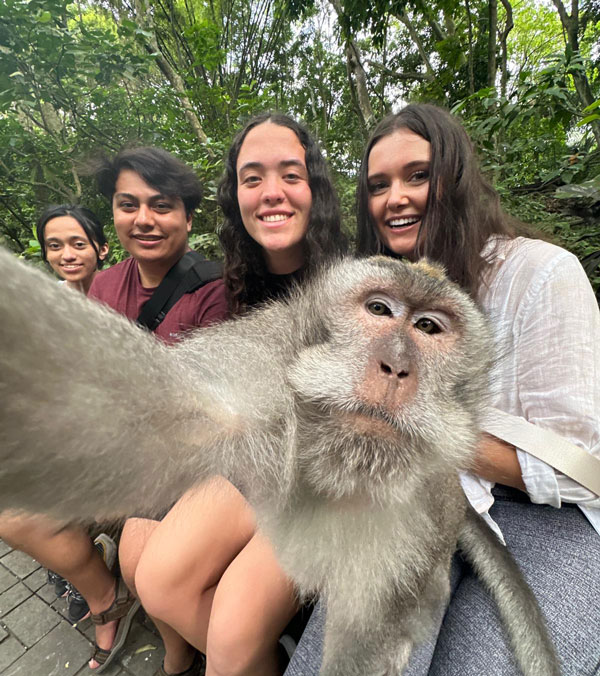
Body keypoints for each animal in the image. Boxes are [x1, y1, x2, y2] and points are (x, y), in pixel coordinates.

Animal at [0, 250, 556, 676]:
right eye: (379, 308)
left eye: (428, 327)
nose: (396, 367)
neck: (337, 462)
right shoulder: (255, 374)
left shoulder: (425, 504)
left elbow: (374, 629)